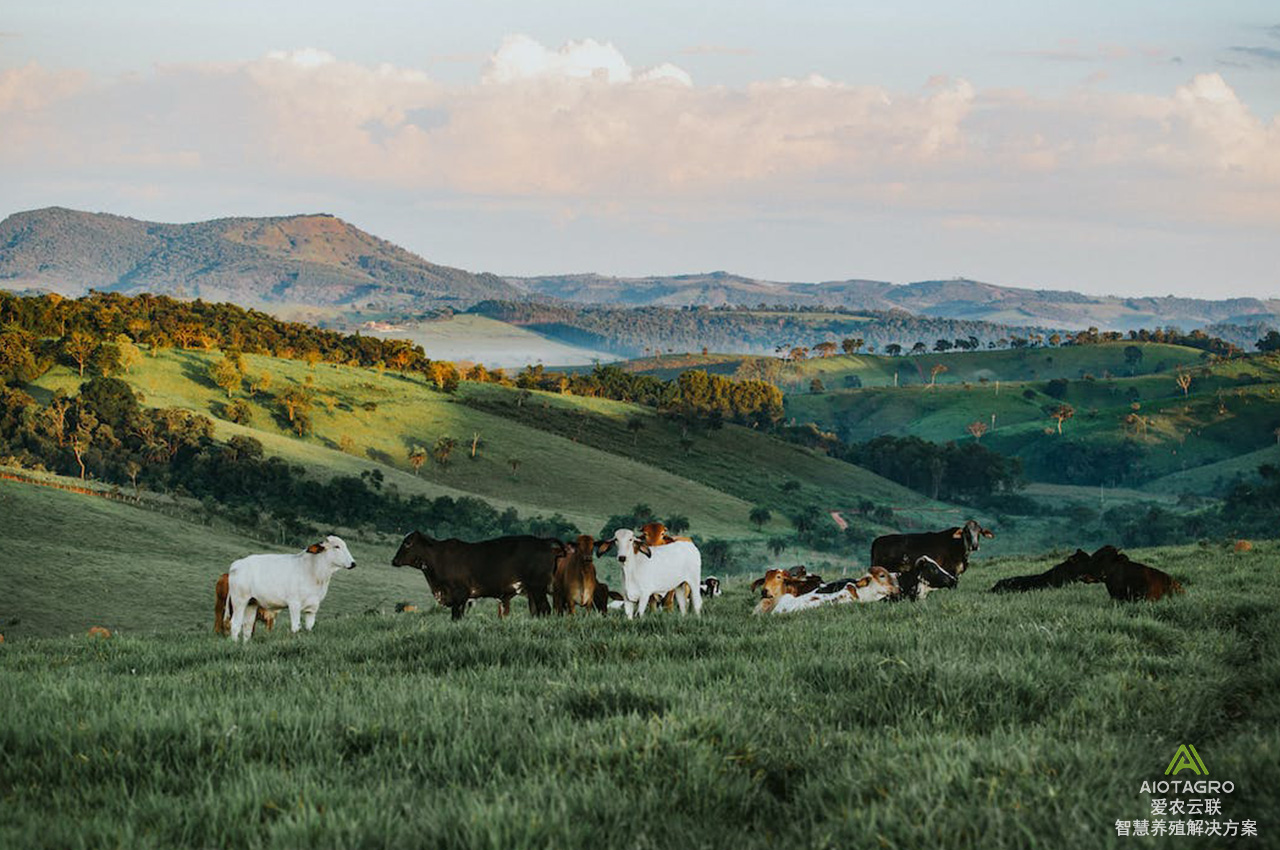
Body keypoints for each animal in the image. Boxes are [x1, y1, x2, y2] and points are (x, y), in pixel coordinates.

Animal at [225, 535, 355, 640]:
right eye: (336, 546)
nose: (353, 563)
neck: (314, 572)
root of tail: (237, 564)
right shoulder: (294, 604)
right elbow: (295, 627)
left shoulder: (312, 607)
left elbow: (309, 628)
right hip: (239, 601)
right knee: (235, 624)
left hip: (252, 603)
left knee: (247, 626)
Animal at [389, 532, 560, 617]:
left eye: (408, 543)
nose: (394, 560)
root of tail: (543, 542)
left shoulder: (460, 595)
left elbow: (456, 616)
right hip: (533, 591)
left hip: (538, 589)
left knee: (545, 609)